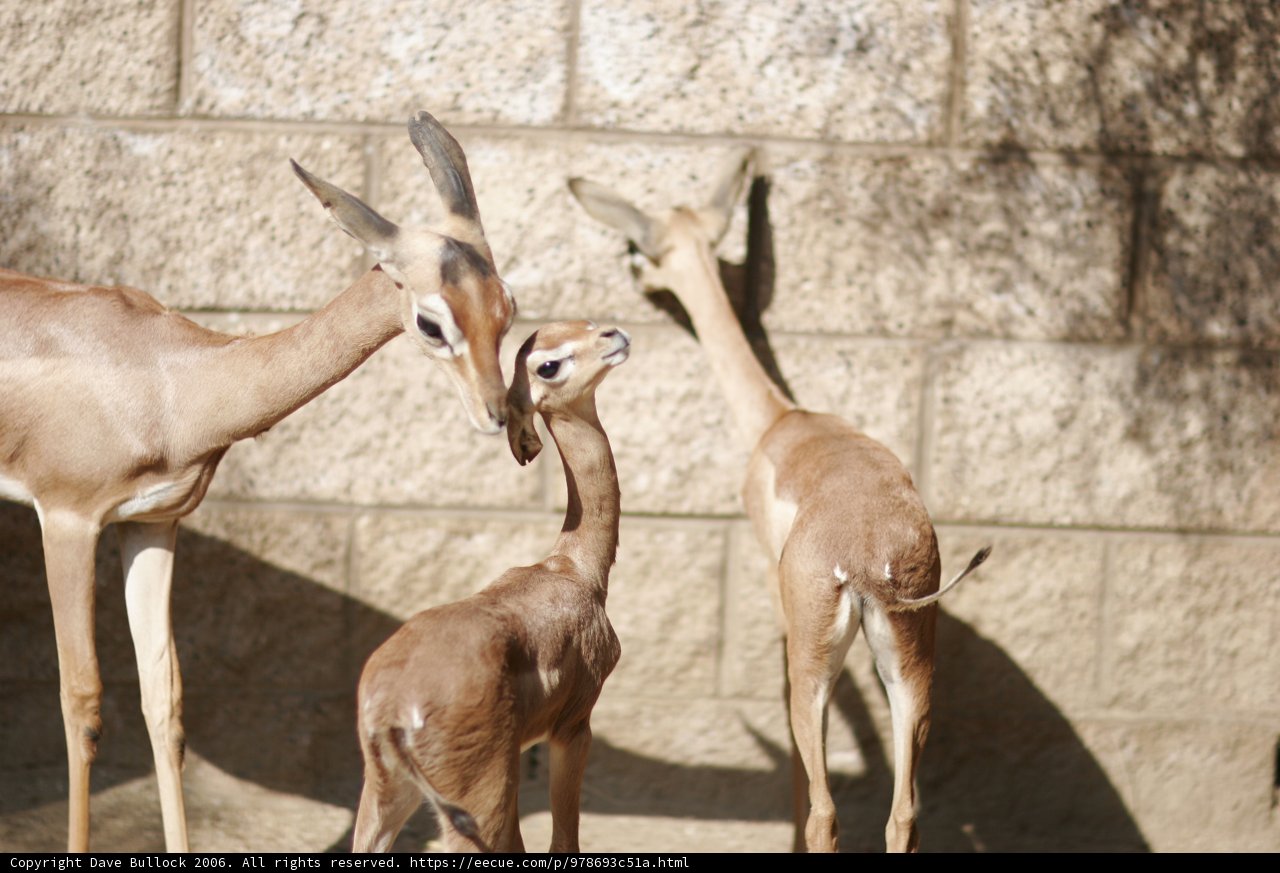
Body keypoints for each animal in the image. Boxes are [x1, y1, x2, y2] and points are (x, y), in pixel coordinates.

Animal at [0, 111, 516, 852]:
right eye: (430, 320)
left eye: (506, 305)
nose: (495, 412)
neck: (172, 380)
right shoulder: (66, 519)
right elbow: (82, 702)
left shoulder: (151, 523)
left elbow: (165, 702)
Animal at [351, 320, 629, 853]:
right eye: (549, 364)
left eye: (583, 322)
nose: (616, 336)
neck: (572, 568)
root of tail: (392, 709)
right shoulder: (574, 728)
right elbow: (563, 840)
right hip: (477, 803)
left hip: (387, 792)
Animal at [568, 156, 989, 853]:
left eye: (640, 245)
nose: (629, 268)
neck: (781, 421)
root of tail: (869, 565)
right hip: (910, 668)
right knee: (904, 813)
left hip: (818, 661)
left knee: (826, 810)